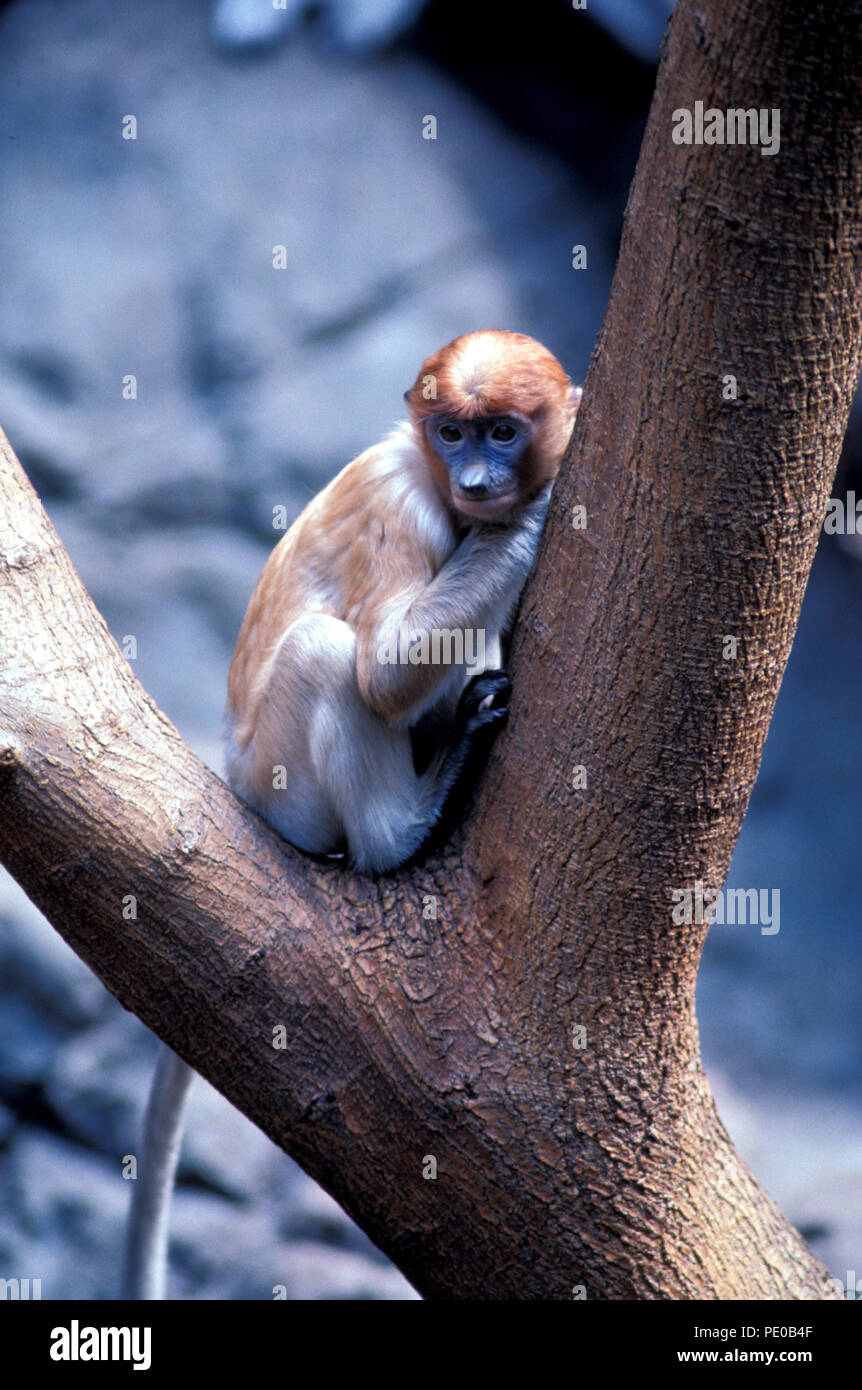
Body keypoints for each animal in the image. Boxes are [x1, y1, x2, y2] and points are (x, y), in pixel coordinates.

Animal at [123, 330, 578, 1295]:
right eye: (451, 432)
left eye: (501, 431)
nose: (477, 481)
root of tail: (235, 782)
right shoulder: (404, 505)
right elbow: (382, 671)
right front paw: (531, 512)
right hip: (285, 783)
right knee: (329, 655)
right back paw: (404, 828)